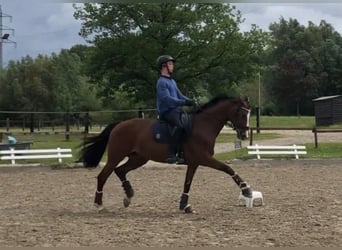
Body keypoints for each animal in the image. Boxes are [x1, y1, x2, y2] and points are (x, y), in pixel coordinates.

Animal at [79, 95, 252, 213]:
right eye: (242, 114)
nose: (244, 135)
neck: (203, 125)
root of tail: (119, 125)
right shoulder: (204, 158)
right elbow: (227, 168)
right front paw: (246, 190)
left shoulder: (194, 162)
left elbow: (187, 183)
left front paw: (185, 205)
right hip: (116, 156)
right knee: (103, 176)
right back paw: (99, 204)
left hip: (139, 158)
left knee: (120, 170)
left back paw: (128, 196)